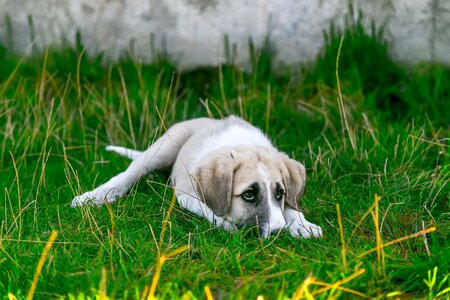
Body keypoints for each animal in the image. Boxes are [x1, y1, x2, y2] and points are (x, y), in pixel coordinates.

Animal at [72, 115, 322, 239]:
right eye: (249, 195)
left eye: (280, 193)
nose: (279, 233)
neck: (241, 143)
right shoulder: (185, 193)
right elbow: (210, 209)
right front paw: (226, 223)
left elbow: (291, 207)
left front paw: (303, 224)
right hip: (164, 146)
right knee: (129, 173)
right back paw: (94, 196)